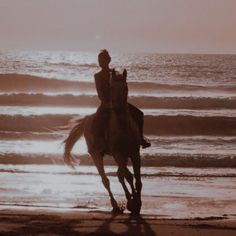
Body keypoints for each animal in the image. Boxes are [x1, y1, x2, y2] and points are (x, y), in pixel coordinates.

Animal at [63, 69, 142, 215]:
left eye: (125, 87)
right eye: (111, 88)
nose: (117, 108)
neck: (123, 127)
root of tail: (87, 120)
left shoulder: (135, 153)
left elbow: (137, 179)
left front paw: (136, 202)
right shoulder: (118, 154)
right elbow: (129, 176)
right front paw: (134, 203)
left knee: (119, 175)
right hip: (96, 155)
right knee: (106, 180)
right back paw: (116, 206)